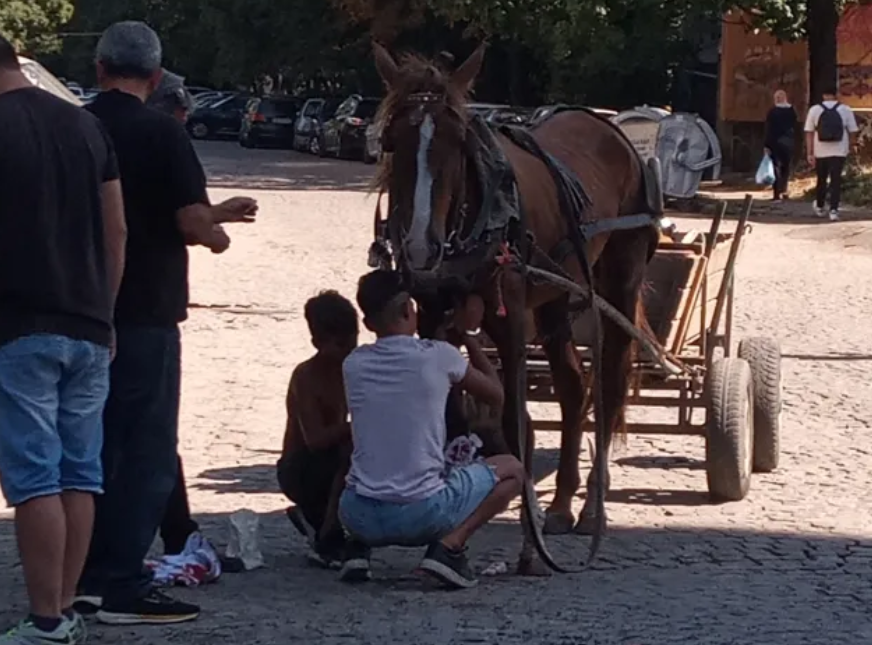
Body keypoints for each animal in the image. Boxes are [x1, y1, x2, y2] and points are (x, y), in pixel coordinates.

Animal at [370, 42, 660, 572]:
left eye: (457, 140)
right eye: (391, 141)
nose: (421, 244)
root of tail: (614, 130)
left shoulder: (512, 323)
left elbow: (515, 419)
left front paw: (528, 541)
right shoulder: (433, 317)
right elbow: (447, 410)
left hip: (620, 280)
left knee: (608, 384)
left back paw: (592, 507)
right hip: (558, 296)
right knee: (573, 388)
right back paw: (562, 504)